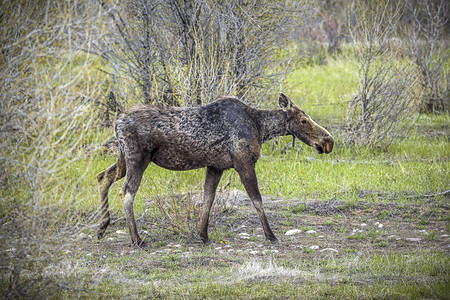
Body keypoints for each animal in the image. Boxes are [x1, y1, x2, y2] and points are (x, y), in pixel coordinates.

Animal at [96, 93, 334, 246]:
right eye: (303, 120)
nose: (328, 141)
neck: (261, 128)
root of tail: (117, 122)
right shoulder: (244, 163)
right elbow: (257, 200)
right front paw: (271, 235)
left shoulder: (215, 167)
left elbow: (208, 199)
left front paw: (203, 235)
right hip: (137, 158)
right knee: (126, 192)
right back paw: (136, 239)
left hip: (123, 158)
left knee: (103, 176)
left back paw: (102, 227)